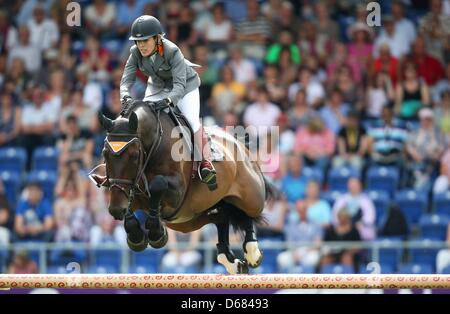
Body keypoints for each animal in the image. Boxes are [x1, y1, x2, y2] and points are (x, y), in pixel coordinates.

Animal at [91, 102, 274, 274]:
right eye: (105, 154)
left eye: (134, 156)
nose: (116, 210)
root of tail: (239, 144)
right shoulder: (130, 191)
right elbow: (129, 200)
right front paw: (136, 236)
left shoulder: (177, 192)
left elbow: (157, 184)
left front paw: (156, 233)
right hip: (191, 220)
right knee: (222, 217)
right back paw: (232, 262)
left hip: (251, 196)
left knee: (248, 213)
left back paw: (252, 253)